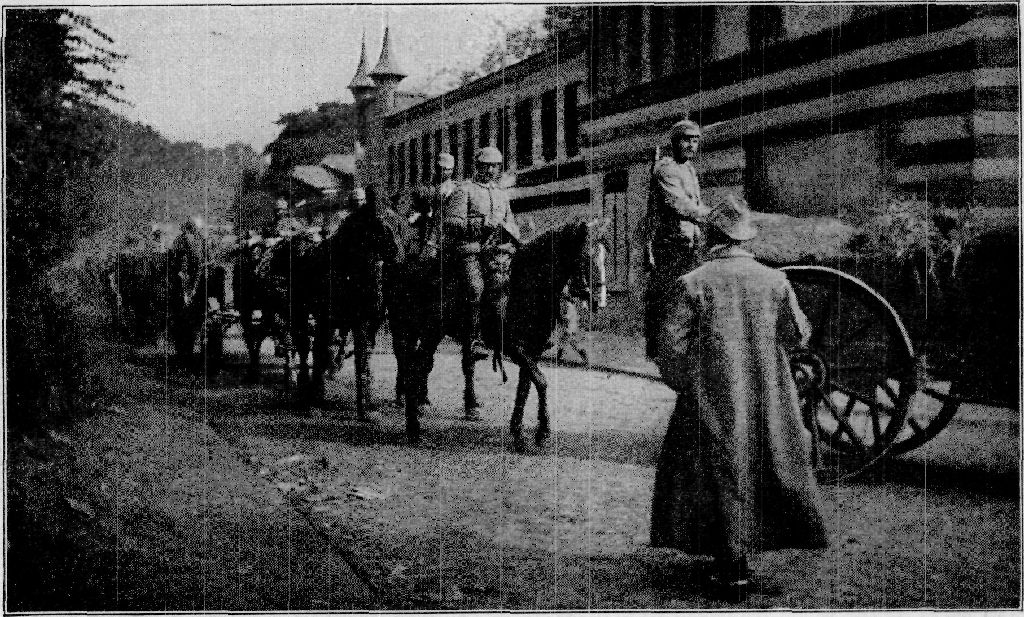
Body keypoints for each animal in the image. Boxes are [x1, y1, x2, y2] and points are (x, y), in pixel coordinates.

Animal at [392, 217, 609, 451]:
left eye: (604, 256)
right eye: (586, 256)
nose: (599, 301)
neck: (524, 287)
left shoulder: (532, 350)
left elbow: (525, 387)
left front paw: (519, 432)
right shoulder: (515, 348)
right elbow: (541, 381)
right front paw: (542, 432)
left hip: (429, 334)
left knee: (421, 366)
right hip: (422, 331)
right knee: (413, 367)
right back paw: (414, 428)